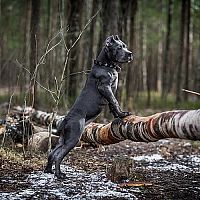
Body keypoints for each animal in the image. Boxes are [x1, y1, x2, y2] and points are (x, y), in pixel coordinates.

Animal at [44, 35, 134, 179]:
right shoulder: (105, 87)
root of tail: (66, 120)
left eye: (124, 46)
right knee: (59, 155)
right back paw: (59, 174)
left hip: (64, 138)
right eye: (119, 47)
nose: (130, 54)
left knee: (53, 153)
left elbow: (112, 104)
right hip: (74, 138)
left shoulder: (110, 91)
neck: (106, 65)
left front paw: (117, 115)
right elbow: (115, 101)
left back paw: (48, 171)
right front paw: (123, 114)